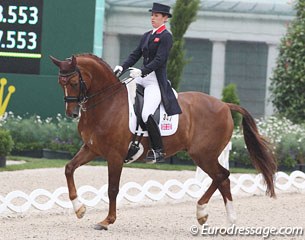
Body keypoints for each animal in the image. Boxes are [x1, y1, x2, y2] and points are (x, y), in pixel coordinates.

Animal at [50, 53, 276, 230]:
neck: (107, 103)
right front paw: (79, 209)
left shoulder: (115, 156)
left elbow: (112, 189)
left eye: (73, 83)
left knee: (222, 176)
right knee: (222, 179)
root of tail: (224, 104)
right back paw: (222, 219)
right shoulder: (92, 149)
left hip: (203, 154)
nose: (72, 113)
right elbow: (69, 169)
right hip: (206, 155)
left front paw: (107, 221)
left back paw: (206, 213)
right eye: (60, 83)